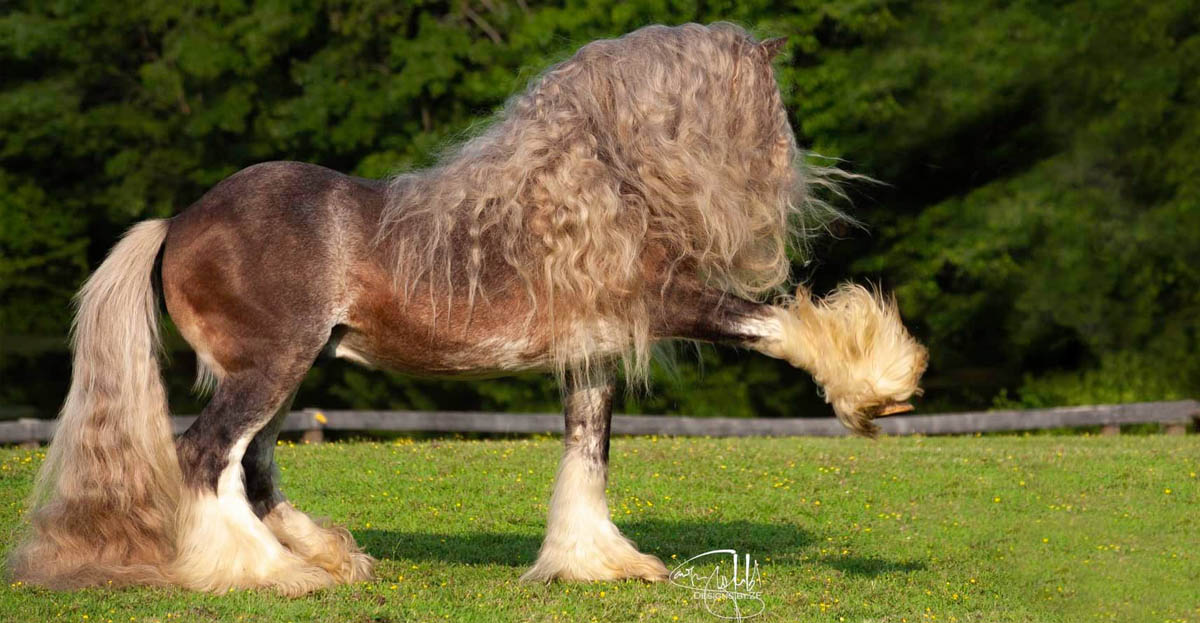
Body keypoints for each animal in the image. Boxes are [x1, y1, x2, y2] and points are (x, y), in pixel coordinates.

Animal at [7, 23, 926, 595]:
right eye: (766, 112)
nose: (792, 180)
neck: (588, 190)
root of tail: (177, 221)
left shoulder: (591, 352)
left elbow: (587, 454)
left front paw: (596, 562)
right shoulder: (673, 302)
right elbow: (777, 325)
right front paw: (878, 386)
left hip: (288, 371)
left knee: (253, 467)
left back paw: (329, 558)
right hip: (267, 367)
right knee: (207, 457)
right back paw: (270, 574)